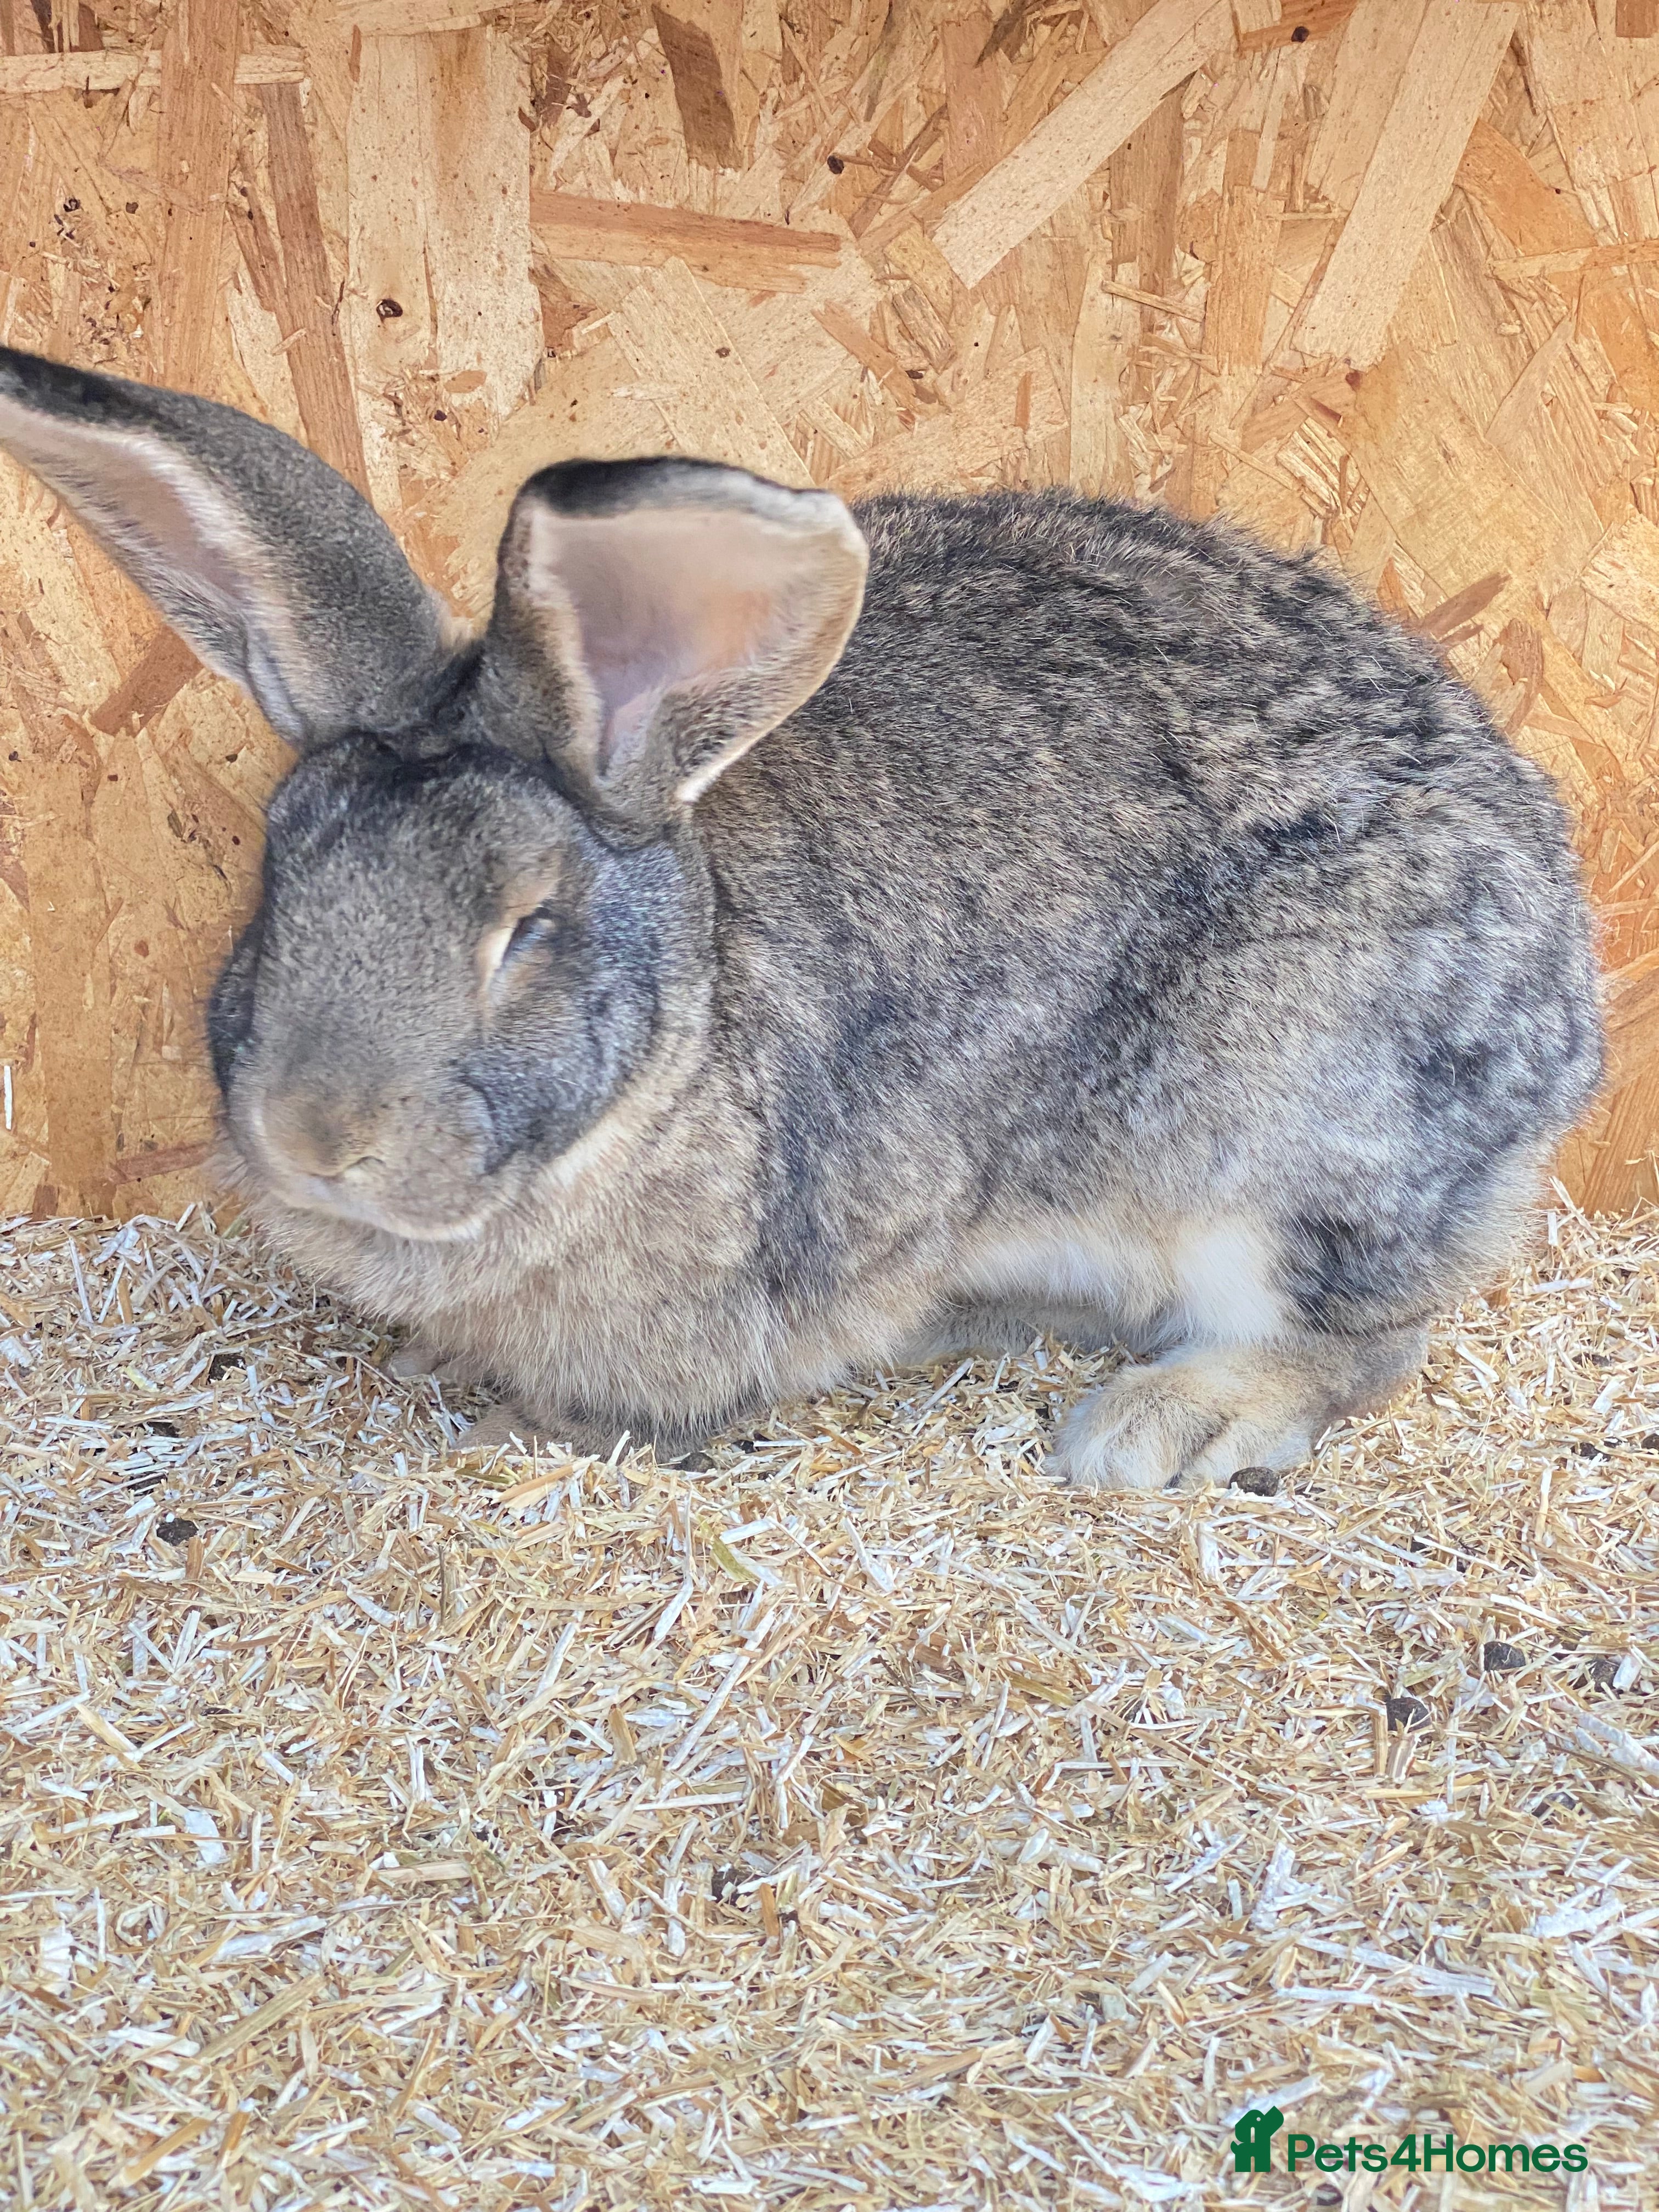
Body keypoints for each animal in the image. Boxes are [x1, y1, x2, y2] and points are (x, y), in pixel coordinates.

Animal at [0, 345, 1604, 1487]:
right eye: (280, 874)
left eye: (527, 927)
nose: (314, 1137)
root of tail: (1569, 1015)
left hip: (1281, 1135)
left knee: (1364, 1335)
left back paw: (1162, 1426)